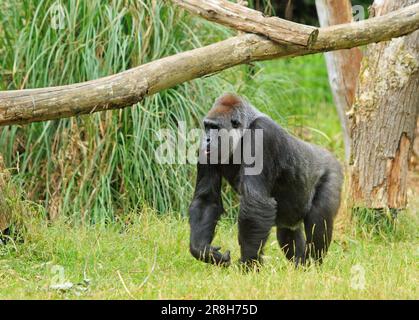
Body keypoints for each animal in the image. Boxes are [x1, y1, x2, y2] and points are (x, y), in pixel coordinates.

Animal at [190, 93, 344, 268]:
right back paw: (300, 265)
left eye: (215, 128)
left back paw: (313, 265)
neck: (244, 131)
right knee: (287, 232)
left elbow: (256, 203)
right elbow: (206, 199)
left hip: (332, 172)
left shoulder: (262, 135)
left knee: (318, 221)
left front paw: (248, 263)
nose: (207, 140)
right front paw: (203, 250)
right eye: (207, 126)